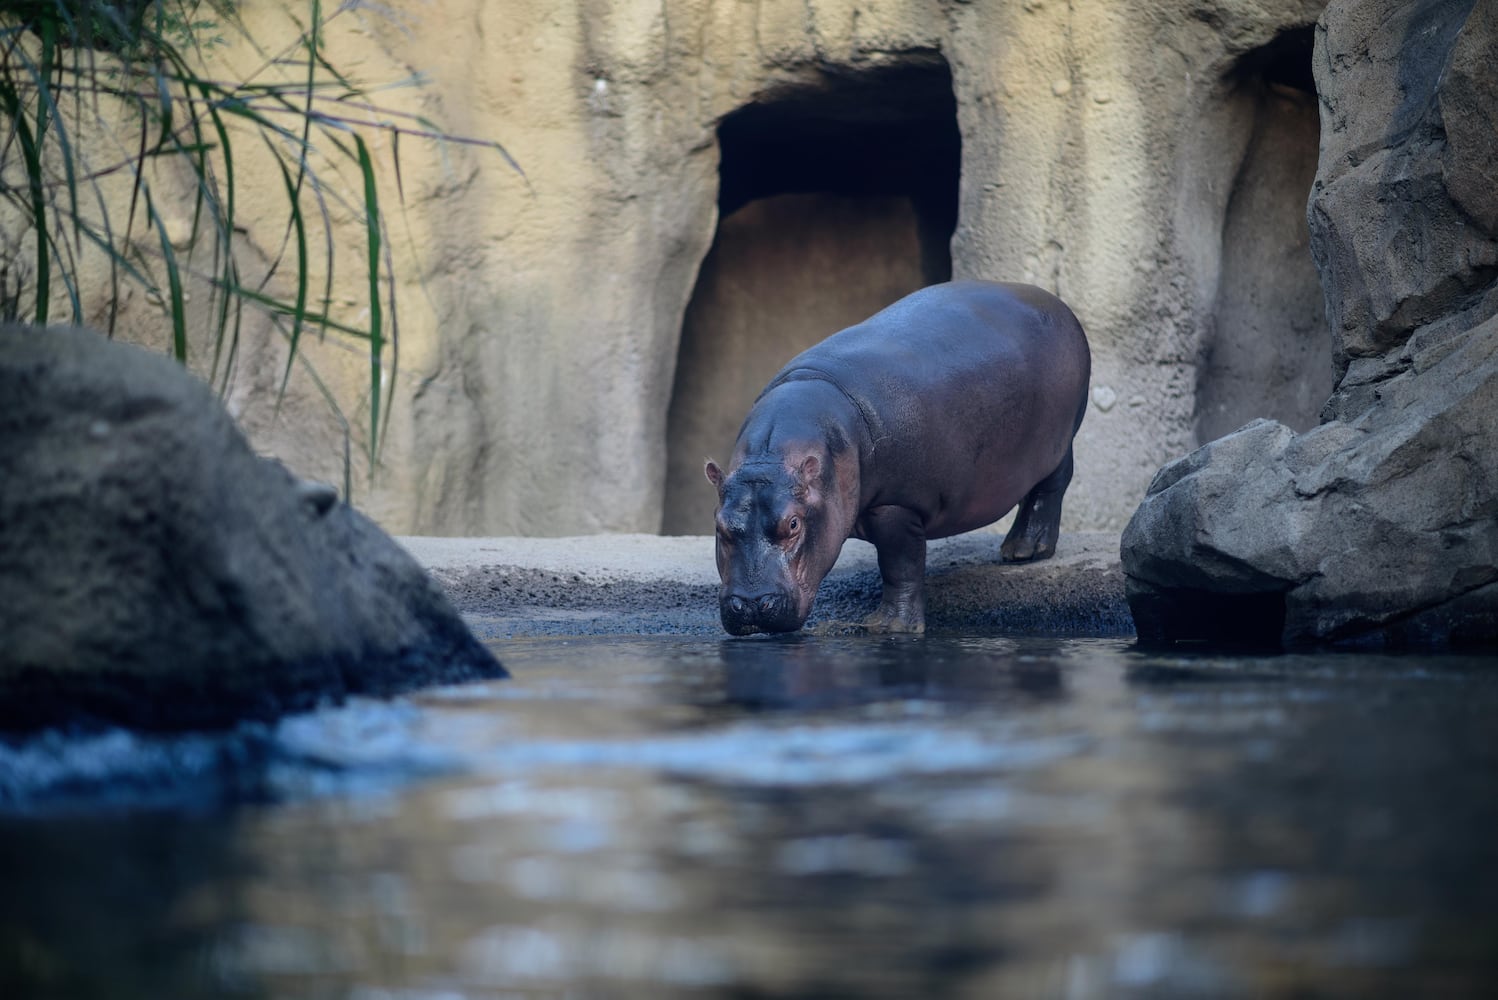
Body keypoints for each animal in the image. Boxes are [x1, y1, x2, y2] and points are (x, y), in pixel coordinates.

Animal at [701, 279, 1090, 631]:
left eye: (793, 523)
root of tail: (1057, 303)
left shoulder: (895, 506)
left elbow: (899, 565)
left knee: (1049, 490)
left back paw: (1023, 550)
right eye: (719, 524)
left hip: (1058, 443)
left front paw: (888, 626)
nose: (751, 605)